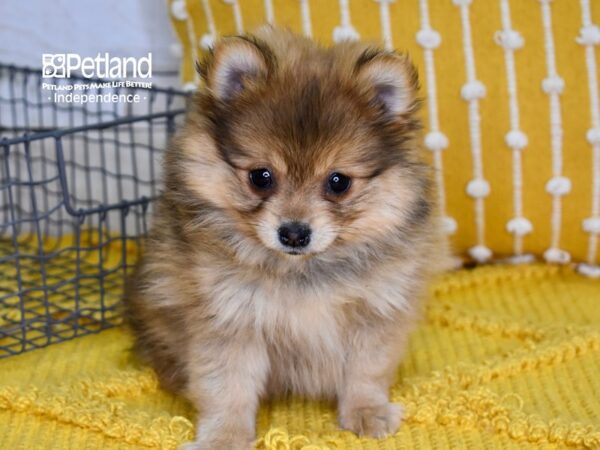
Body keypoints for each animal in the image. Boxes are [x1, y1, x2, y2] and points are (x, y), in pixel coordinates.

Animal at [127, 27, 450, 450]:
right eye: (260, 177)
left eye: (338, 182)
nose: (294, 232)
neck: (304, 273)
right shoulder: (230, 319)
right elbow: (227, 387)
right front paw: (224, 437)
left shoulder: (374, 312)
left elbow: (366, 371)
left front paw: (367, 412)